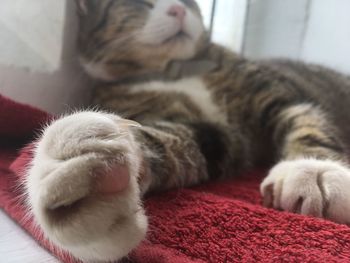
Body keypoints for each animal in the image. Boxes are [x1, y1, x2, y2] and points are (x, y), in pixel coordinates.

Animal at [25, 0, 350, 262]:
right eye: (138, 1)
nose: (177, 8)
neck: (174, 70)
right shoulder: (219, 137)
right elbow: (176, 139)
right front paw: (93, 168)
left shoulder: (275, 94)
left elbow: (305, 118)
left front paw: (313, 169)